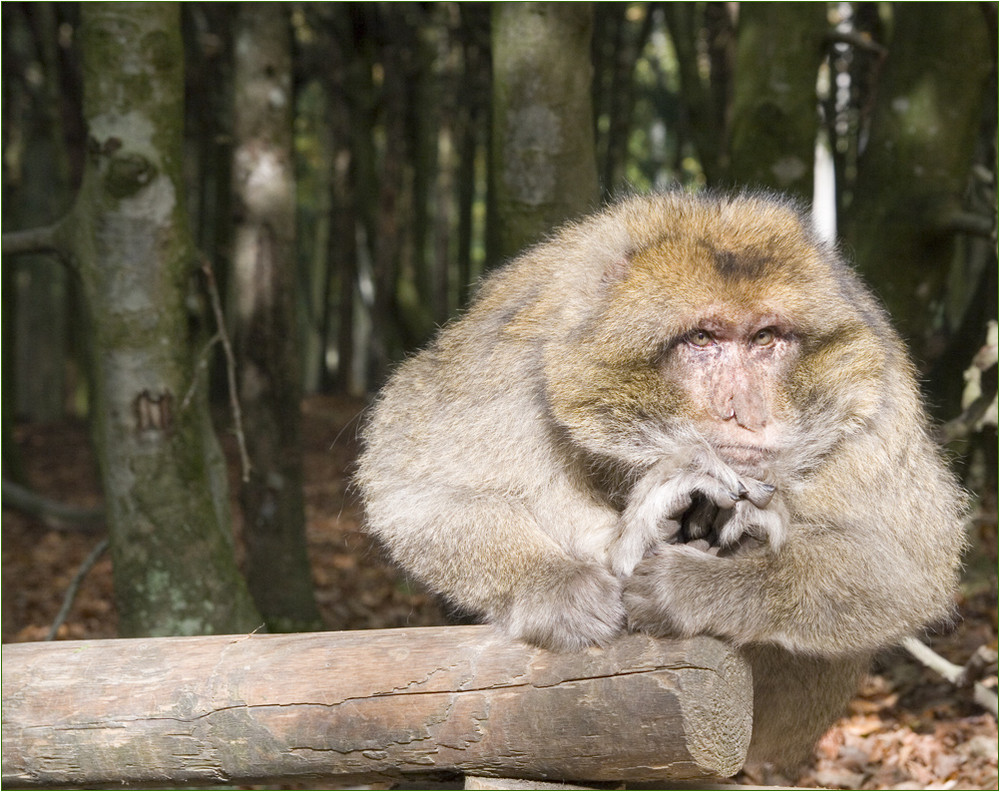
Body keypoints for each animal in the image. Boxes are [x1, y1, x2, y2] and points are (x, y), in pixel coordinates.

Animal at [354, 192, 968, 768]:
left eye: (766, 338)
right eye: (702, 339)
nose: (746, 411)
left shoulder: (877, 393)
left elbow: (907, 563)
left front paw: (697, 587)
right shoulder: (515, 346)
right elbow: (412, 486)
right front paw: (563, 581)